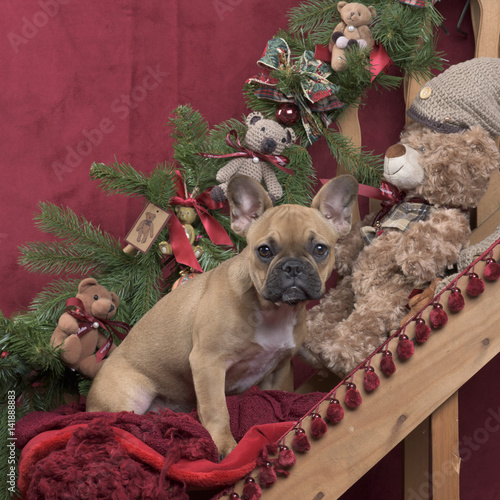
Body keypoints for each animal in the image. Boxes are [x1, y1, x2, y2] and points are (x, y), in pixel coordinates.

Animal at [87, 173, 360, 458]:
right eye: (264, 251)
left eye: (320, 249)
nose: (293, 266)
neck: (273, 312)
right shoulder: (208, 363)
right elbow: (218, 411)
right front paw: (225, 447)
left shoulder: (280, 368)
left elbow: (279, 396)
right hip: (129, 399)